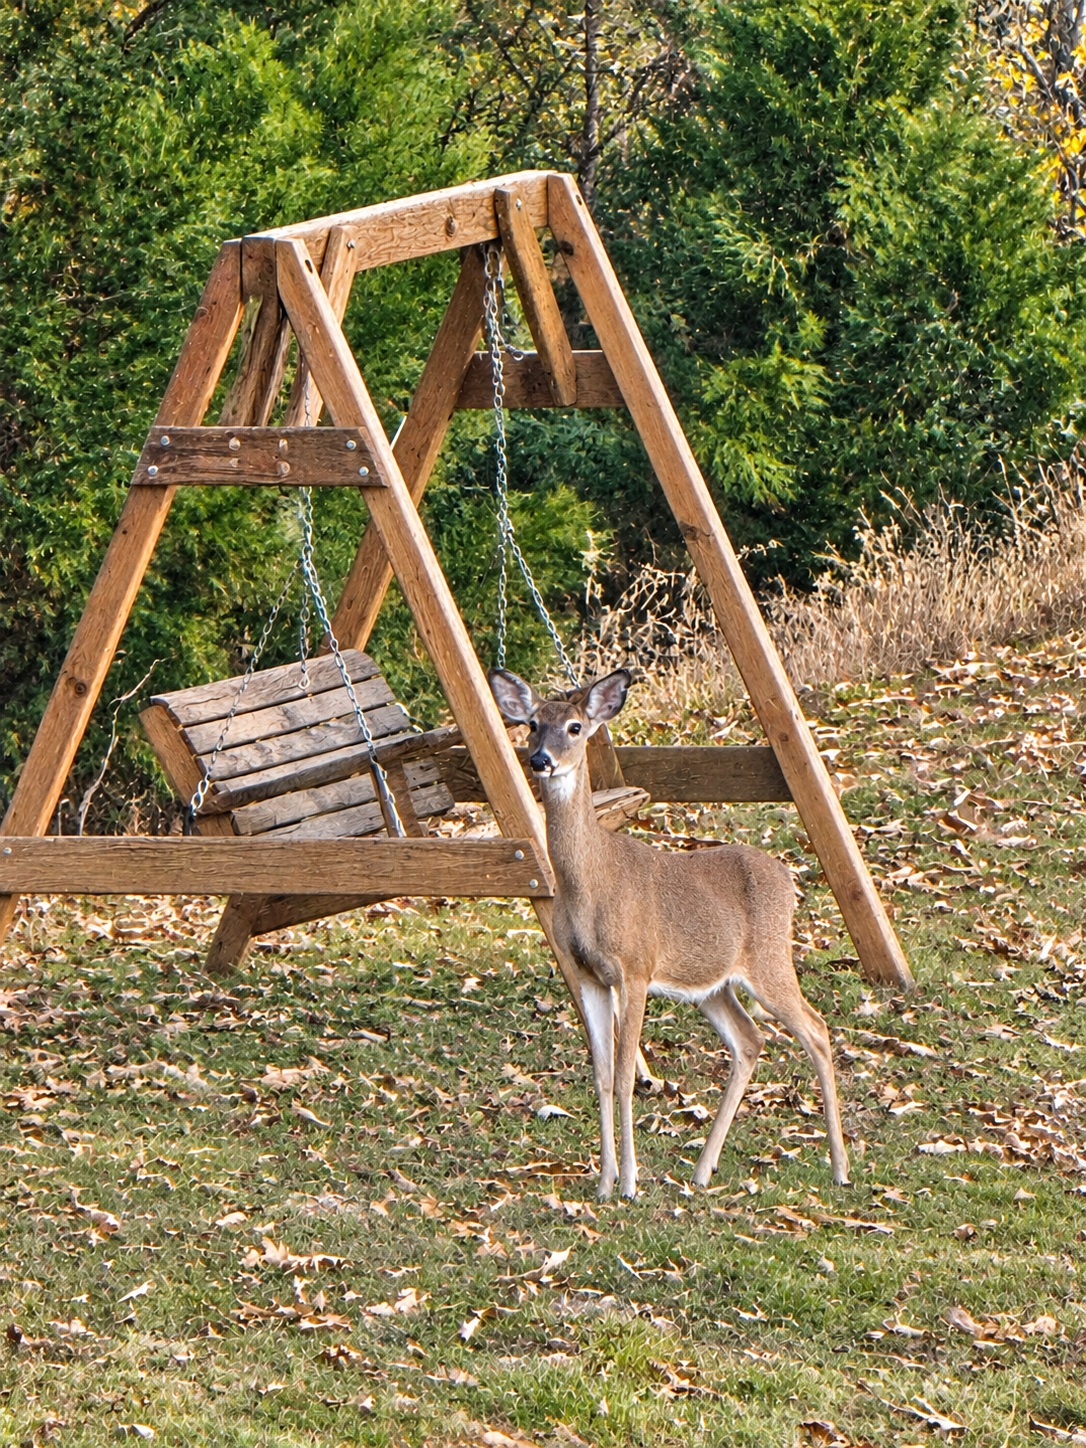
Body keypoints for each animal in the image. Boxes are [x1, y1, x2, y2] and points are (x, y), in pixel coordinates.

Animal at [488, 666, 851, 1200]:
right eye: (533, 724)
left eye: (575, 727)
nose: (540, 760)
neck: (589, 883)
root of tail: (789, 879)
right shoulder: (589, 975)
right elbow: (600, 1076)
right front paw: (604, 1182)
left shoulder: (635, 968)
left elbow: (624, 1077)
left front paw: (629, 1184)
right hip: (712, 985)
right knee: (750, 1040)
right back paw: (702, 1170)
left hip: (768, 960)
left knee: (817, 1029)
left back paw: (840, 1167)